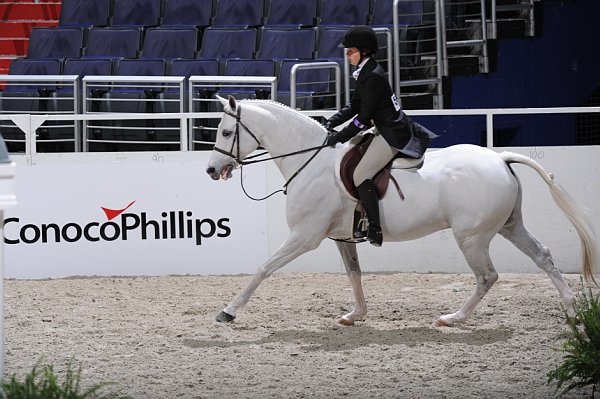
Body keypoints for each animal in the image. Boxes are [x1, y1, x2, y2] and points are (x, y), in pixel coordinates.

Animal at [205, 97, 596, 328]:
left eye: (224, 132)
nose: (211, 170)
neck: (311, 161)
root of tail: (500, 158)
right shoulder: (340, 238)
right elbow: (354, 274)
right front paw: (356, 314)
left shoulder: (305, 237)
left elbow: (263, 268)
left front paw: (229, 310)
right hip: (508, 226)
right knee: (542, 255)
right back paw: (571, 310)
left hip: (471, 236)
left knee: (487, 276)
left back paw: (453, 318)